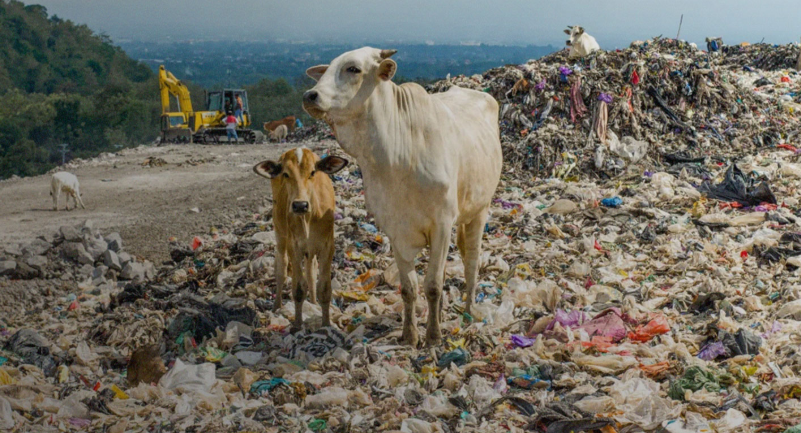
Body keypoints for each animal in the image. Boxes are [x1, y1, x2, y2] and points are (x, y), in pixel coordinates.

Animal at [253, 147, 348, 331]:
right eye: (286, 174)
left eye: (313, 172)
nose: (299, 205)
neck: (309, 217)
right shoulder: (294, 246)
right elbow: (298, 289)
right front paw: (297, 325)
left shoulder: (327, 246)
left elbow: (324, 288)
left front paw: (326, 324)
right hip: (280, 234)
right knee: (281, 269)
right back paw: (277, 306)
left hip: (310, 249)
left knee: (311, 271)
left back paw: (314, 302)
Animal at [301, 48, 502, 346]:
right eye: (326, 70)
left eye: (353, 69)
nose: (310, 95)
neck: (397, 156)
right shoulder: (396, 230)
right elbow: (409, 288)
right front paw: (410, 334)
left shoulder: (442, 224)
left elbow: (433, 285)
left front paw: (433, 337)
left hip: (480, 209)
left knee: (471, 263)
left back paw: (467, 312)